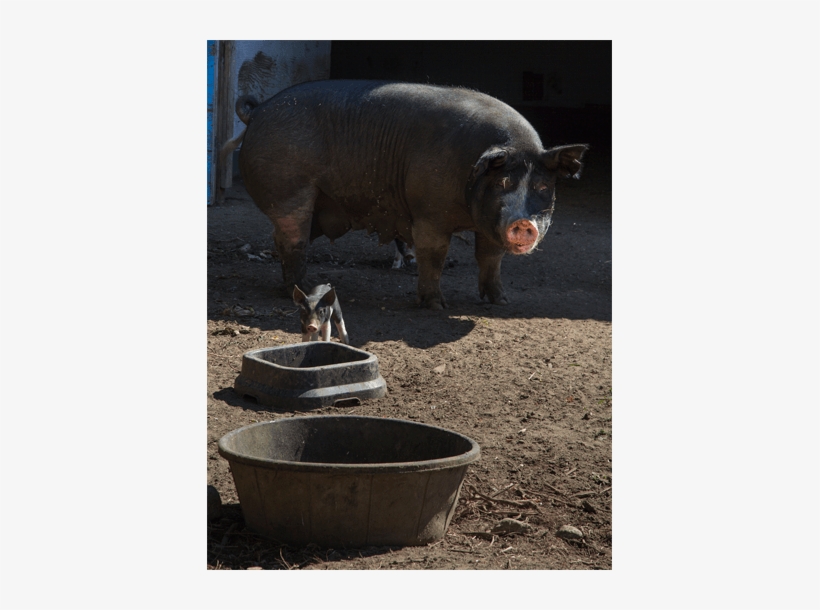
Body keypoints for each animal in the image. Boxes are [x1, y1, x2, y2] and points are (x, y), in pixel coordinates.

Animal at [225, 81, 587, 309]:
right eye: (502, 184)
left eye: (543, 188)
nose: (523, 223)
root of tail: (258, 110)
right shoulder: (429, 212)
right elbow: (434, 255)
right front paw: (436, 306)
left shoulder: (489, 226)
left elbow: (490, 258)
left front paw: (501, 301)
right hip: (288, 188)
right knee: (292, 238)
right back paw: (303, 289)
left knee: (283, 239)